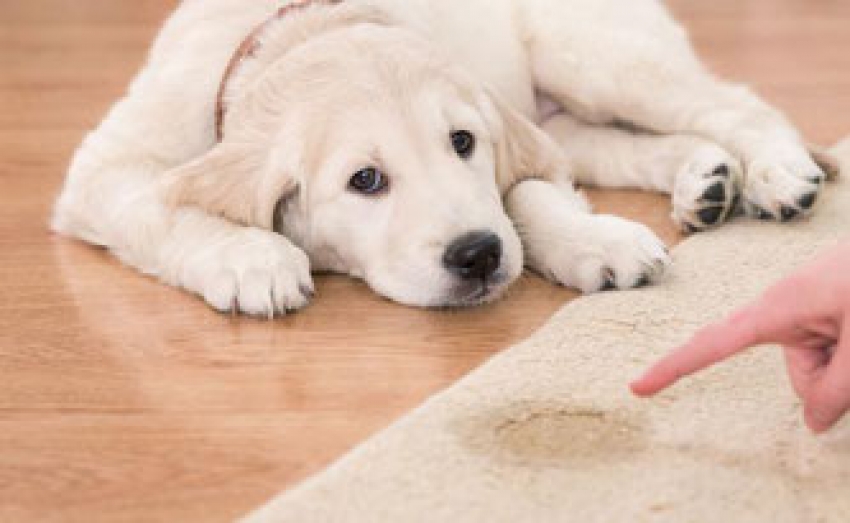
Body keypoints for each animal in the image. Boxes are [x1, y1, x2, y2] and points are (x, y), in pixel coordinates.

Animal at [49, 0, 832, 316]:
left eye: (462, 143)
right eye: (365, 180)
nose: (477, 255)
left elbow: (524, 194)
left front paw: (593, 240)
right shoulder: (106, 168)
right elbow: (163, 207)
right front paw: (252, 259)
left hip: (590, 53)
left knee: (732, 103)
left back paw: (776, 172)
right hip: (570, 111)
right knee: (626, 144)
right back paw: (706, 181)